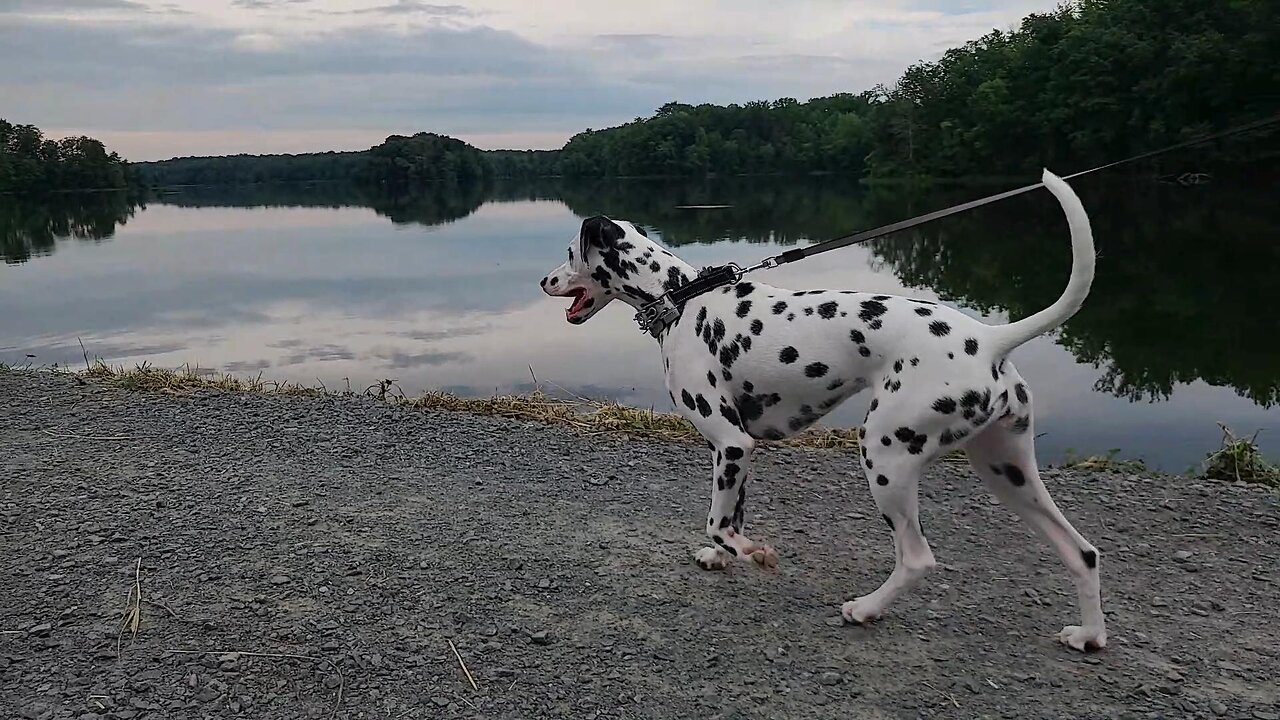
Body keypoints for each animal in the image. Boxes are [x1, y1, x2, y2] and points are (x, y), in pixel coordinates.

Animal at [535, 169, 1105, 650]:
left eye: (569, 252)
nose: (544, 281)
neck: (683, 298)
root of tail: (989, 340)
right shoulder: (738, 454)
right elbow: (730, 516)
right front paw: (723, 556)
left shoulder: (731, 444)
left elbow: (718, 522)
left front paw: (751, 553)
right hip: (1006, 471)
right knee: (1082, 551)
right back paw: (1089, 635)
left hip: (886, 457)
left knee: (917, 557)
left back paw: (867, 608)